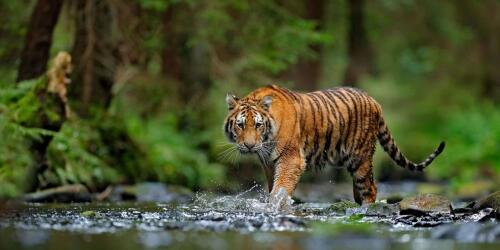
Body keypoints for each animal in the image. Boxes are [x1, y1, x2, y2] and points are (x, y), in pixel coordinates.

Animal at [224, 84, 446, 205]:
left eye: (258, 125)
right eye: (240, 125)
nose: (249, 146)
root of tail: (374, 100)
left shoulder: (291, 159)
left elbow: (281, 188)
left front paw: (276, 206)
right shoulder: (269, 163)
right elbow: (273, 187)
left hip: (360, 158)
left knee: (370, 188)